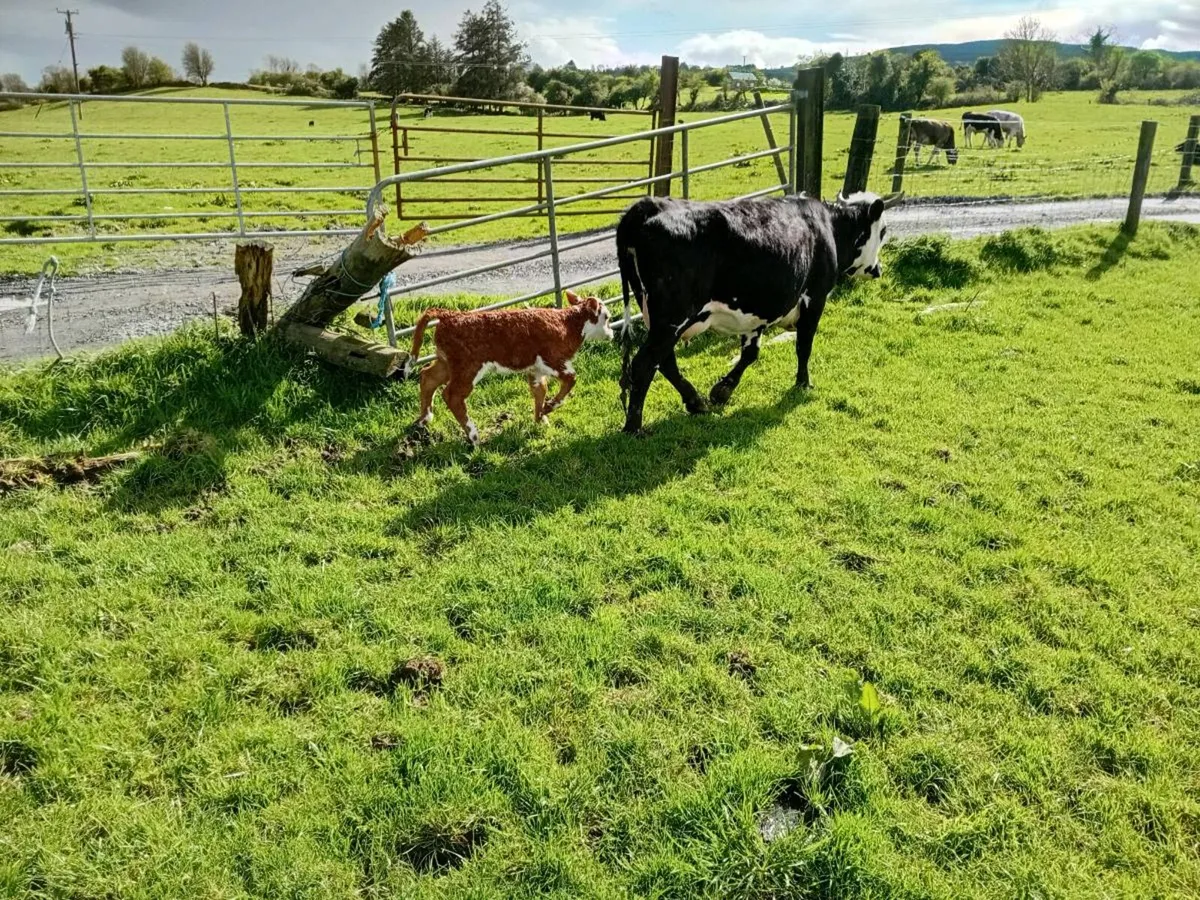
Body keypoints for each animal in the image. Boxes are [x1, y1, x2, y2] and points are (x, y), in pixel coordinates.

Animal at [615, 190, 903, 434]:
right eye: (883, 231)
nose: (879, 269)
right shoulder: (815, 298)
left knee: (664, 361)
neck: (828, 228)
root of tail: (647, 205)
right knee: (645, 363)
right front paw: (803, 383)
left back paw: (695, 402)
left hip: (657, 317)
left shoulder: (756, 313)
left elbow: (750, 354)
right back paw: (634, 427)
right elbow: (804, 345)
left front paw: (722, 391)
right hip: (671, 319)